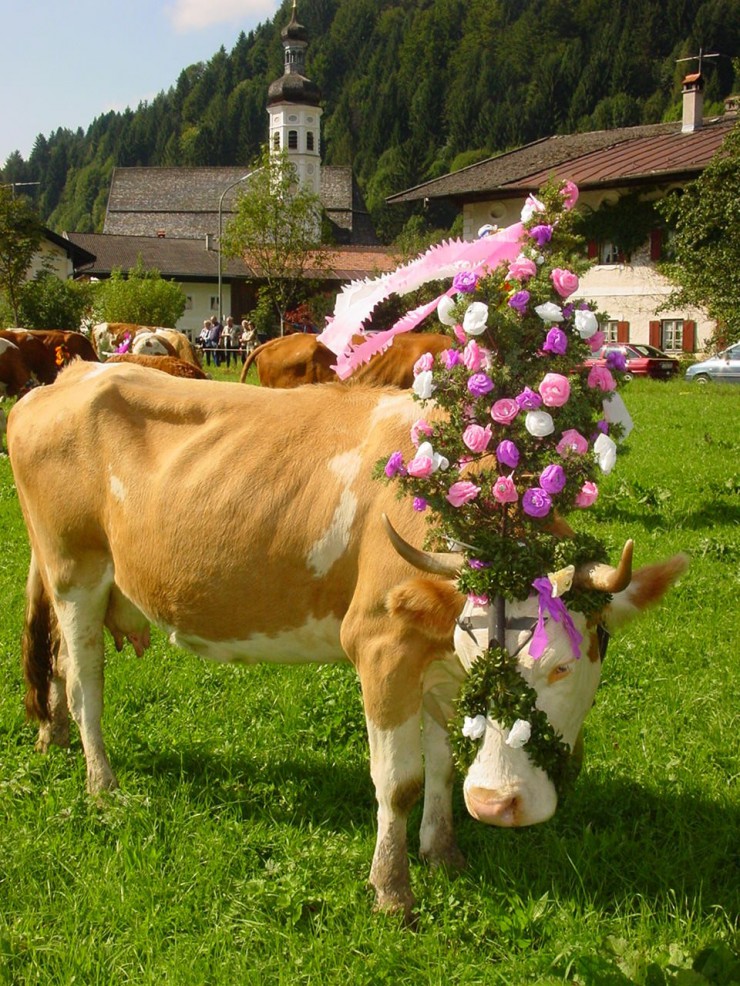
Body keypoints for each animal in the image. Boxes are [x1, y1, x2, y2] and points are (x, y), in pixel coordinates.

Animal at [7, 360, 688, 916]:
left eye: (562, 668)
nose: (496, 804)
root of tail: (68, 376)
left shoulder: (435, 664)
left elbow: (443, 766)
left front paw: (443, 851)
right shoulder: (382, 645)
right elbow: (400, 779)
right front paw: (392, 888)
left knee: (59, 662)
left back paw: (56, 739)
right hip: (75, 571)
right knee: (86, 682)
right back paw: (102, 784)